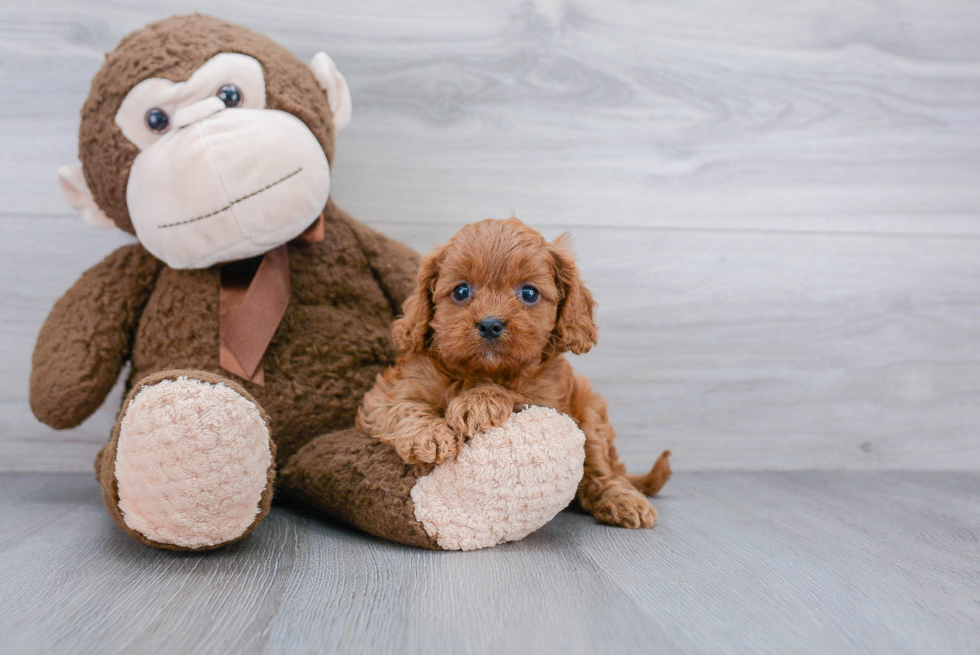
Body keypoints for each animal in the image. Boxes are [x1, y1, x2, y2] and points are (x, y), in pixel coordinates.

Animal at [360, 218, 672, 532]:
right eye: (461, 291)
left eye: (529, 293)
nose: (490, 324)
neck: (483, 371)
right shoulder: (388, 393)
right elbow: (401, 407)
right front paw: (429, 437)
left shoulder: (547, 400)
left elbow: (513, 393)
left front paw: (477, 403)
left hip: (590, 412)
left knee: (602, 470)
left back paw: (622, 501)